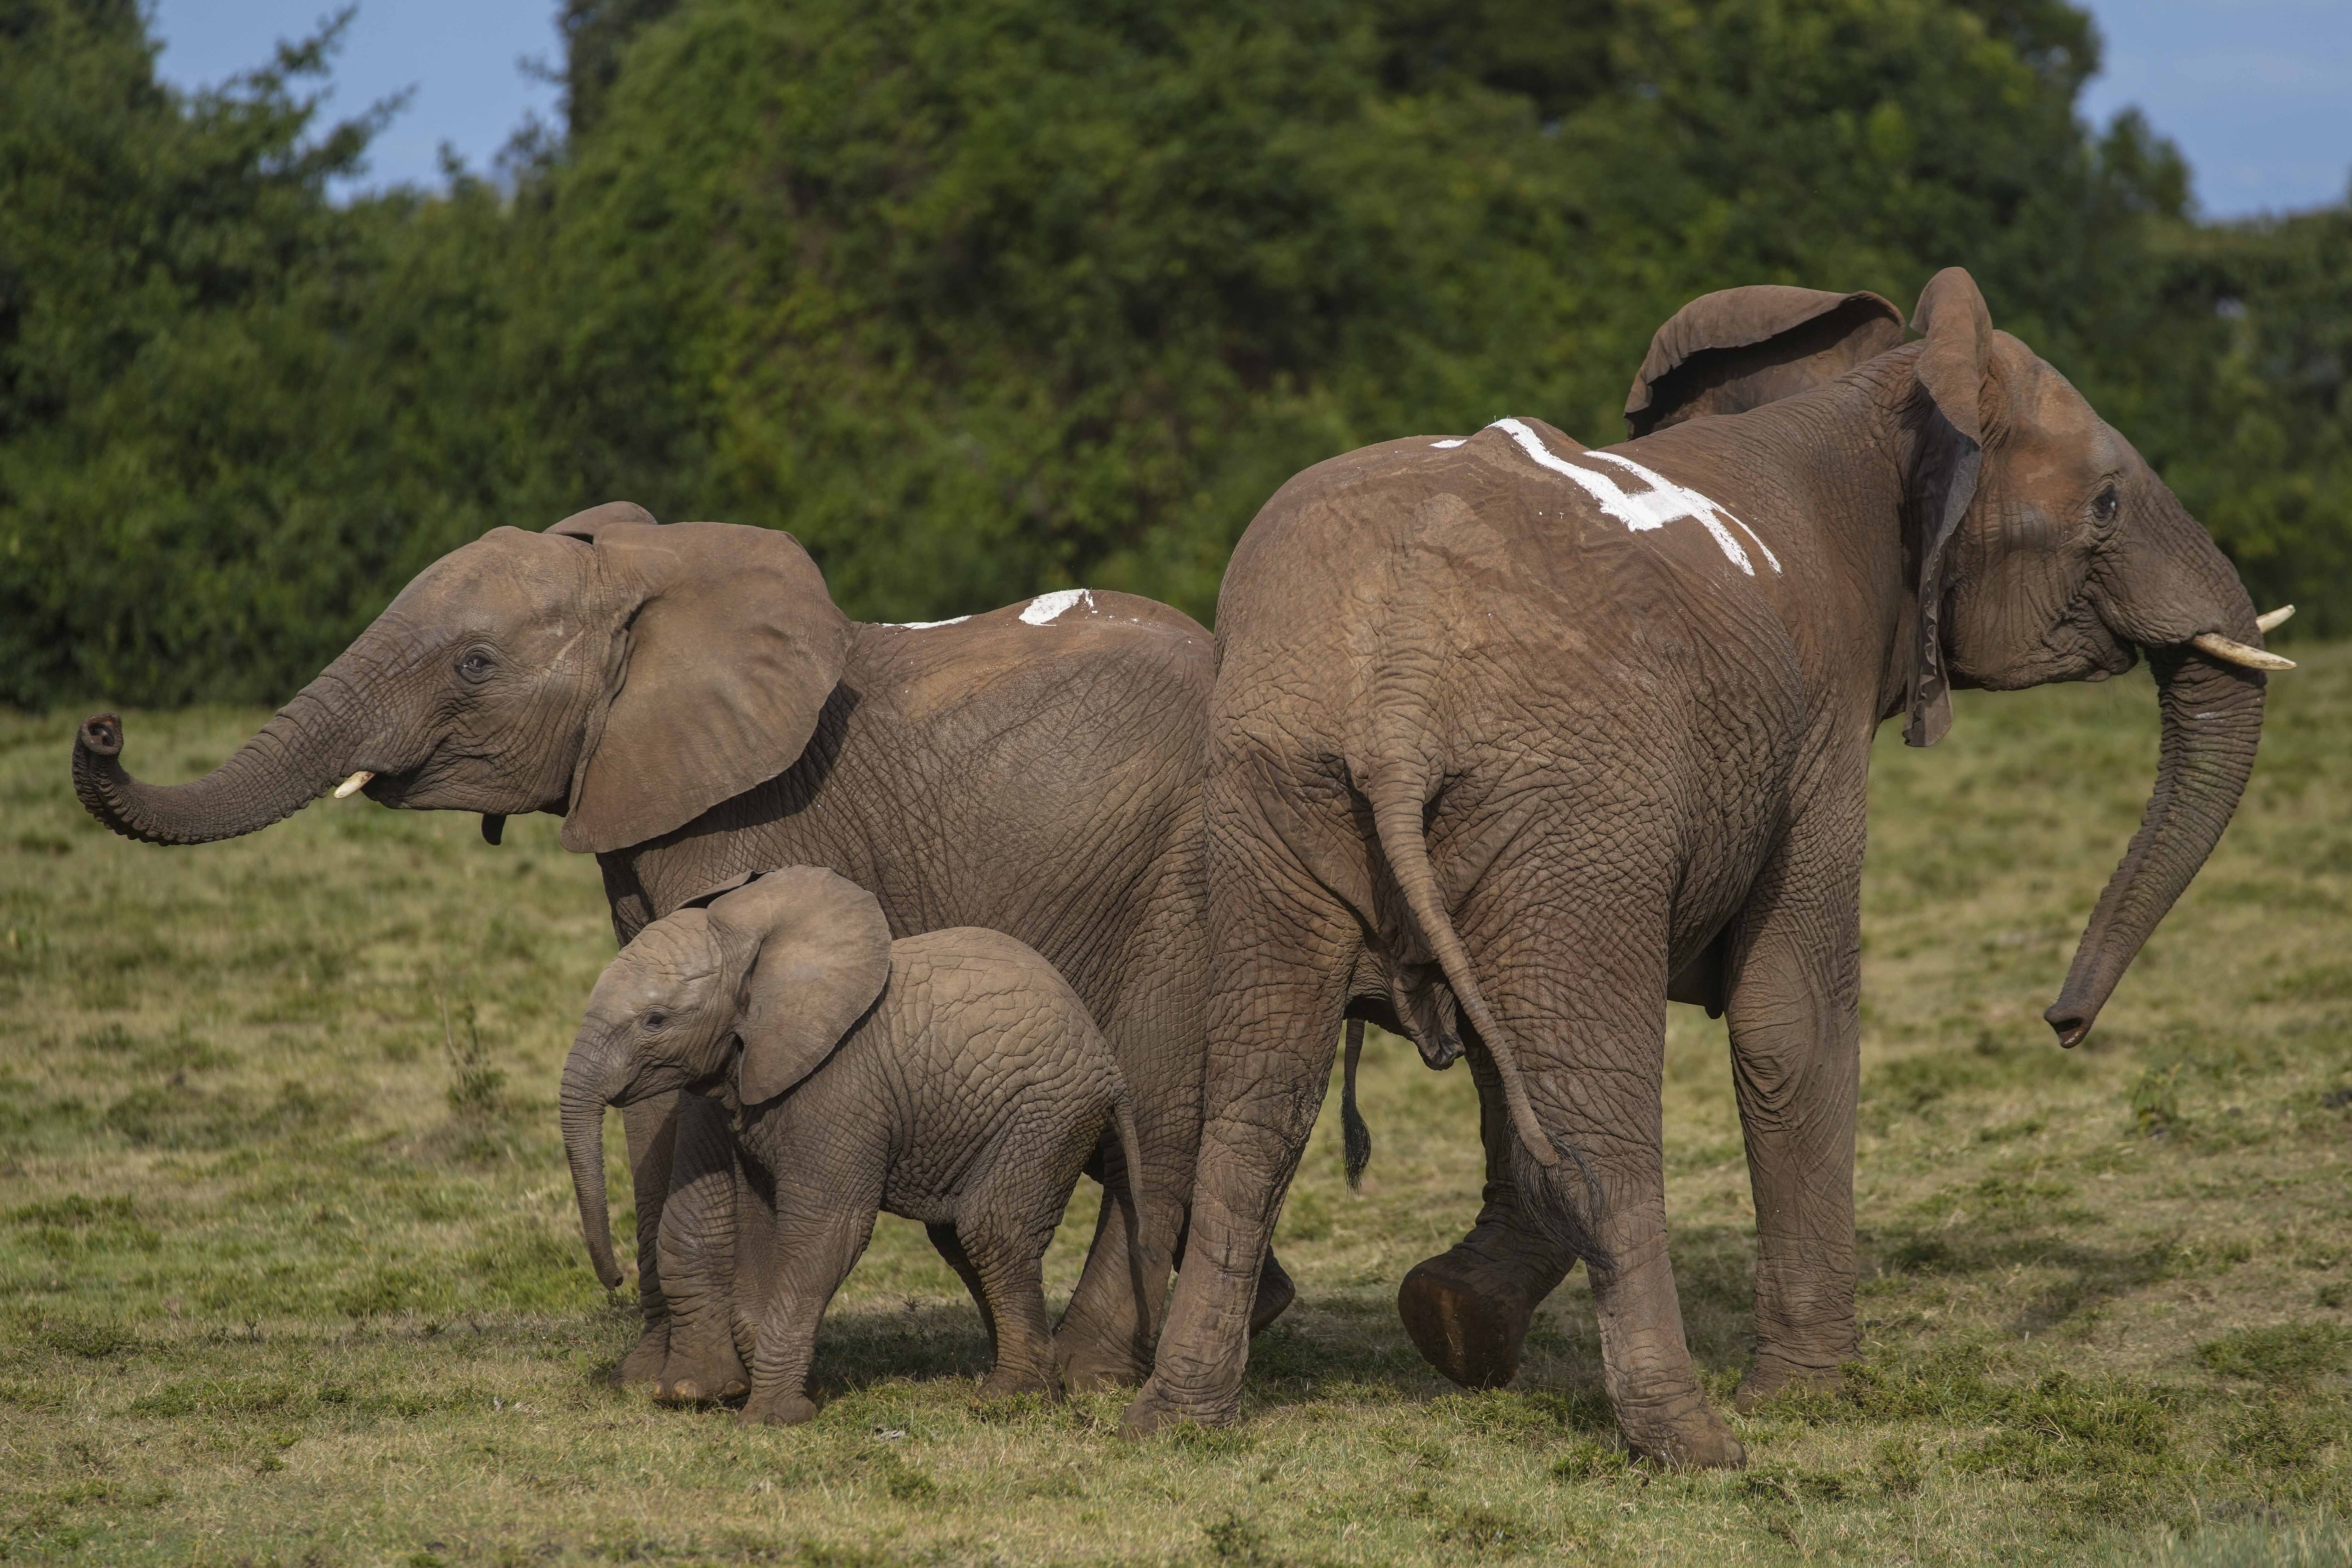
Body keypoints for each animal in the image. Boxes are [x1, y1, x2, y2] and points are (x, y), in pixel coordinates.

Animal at [561, 867, 1142, 1423]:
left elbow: (827, 1231)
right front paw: (804, 1393)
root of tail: (1111, 1066)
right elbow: (759, 1225)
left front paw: (773, 1418)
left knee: (992, 1229)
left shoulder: (838, 1087)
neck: (759, 956)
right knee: (958, 1238)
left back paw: (1006, 1401)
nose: (615, 1279)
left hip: (1047, 1114)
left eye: (655, 1022)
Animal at [1123, 267, 2286, 1466]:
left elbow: (1505, 1061)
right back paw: (1696, 1443)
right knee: (1595, 1111)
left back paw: (1176, 1421)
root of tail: (1399, 677)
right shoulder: (1819, 725)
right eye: (2106, 506)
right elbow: (1793, 1018)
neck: (1882, 402)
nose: (2064, 1023)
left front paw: (1457, 1321)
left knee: (1266, 1092)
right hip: (1575, 797)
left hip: (1281, 780)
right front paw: (1810, 1398)